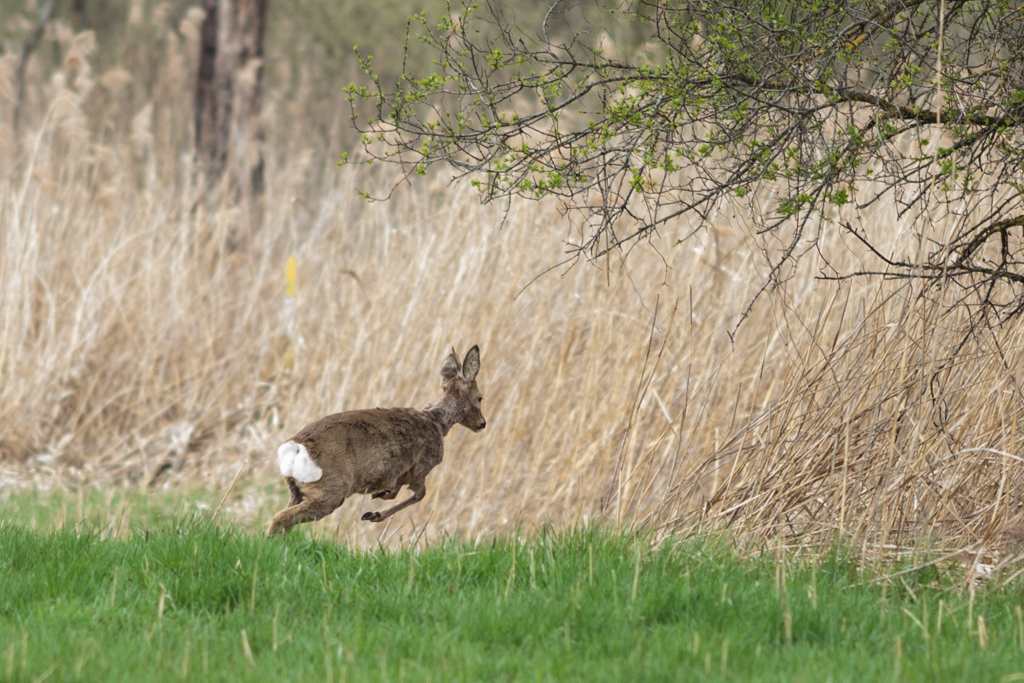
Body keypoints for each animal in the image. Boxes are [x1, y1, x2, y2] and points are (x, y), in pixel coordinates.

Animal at [266, 348, 485, 532]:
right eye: (480, 397)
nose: (482, 423)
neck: (437, 422)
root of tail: (294, 448)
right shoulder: (420, 468)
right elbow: (419, 494)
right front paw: (373, 513)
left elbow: (397, 491)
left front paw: (379, 498)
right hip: (331, 489)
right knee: (280, 518)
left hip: (296, 489)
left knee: (285, 519)